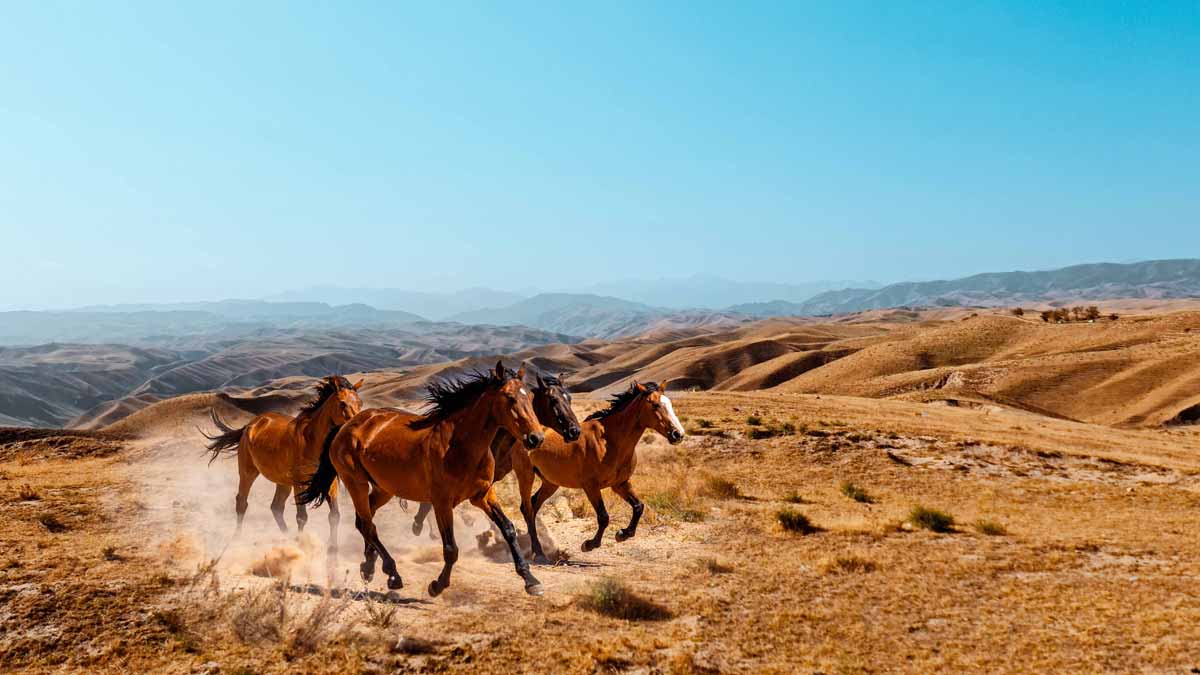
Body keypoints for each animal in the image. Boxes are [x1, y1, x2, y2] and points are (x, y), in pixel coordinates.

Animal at [202, 375, 363, 546]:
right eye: (342, 403)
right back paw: (237, 539)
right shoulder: (299, 483)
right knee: (242, 502)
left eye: (360, 403)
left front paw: (332, 549)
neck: (311, 441)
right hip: (248, 472)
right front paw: (301, 544)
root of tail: (250, 425)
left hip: (283, 482)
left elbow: (334, 516)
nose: (356, 427)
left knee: (276, 507)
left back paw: (287, 537)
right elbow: (302, 517)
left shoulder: (329, 482)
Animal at [298, 362, 548, 596]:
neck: (460, 446)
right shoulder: (441, 503)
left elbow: (508, 529)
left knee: (364, 521)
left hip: (384, 488)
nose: (536, 438)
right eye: (510, 398)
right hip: (355, 482)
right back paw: (392, 574)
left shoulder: (483, 495)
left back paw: (368, 567)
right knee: (368, 525)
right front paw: (437, 585)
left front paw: (531, 581)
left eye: (529, 396)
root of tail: (345, 426)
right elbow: (451, 548)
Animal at [510, 381, 685, 562]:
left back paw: (536, 550)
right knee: (527, 508)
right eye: (655, 405)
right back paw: (538, 553)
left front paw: (623, 534)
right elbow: (604, 517)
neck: (610, 441)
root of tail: (527, 436)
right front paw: (589, 544)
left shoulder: (620, 484)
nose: (678, 434)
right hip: (526, 476)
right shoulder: (591, 486)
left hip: (550, 483)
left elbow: (638, 507)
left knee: (533, 505)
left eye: (670, 404)